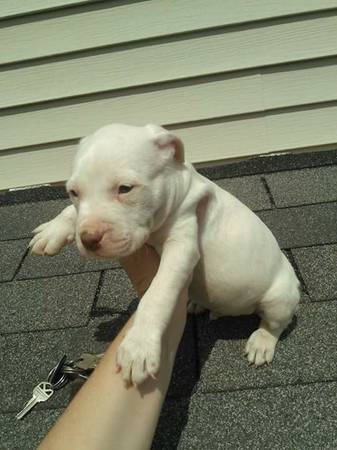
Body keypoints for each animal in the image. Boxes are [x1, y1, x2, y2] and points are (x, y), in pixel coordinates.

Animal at [28, 123, 298, 384]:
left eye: (125, 188)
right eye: (74, 192)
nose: (89, 238)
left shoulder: (182, 246)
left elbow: (157, 294)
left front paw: (139, 346)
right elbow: (71, 212)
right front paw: (52, 230)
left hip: (279, 298)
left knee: (275, 324)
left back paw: (261, 342)